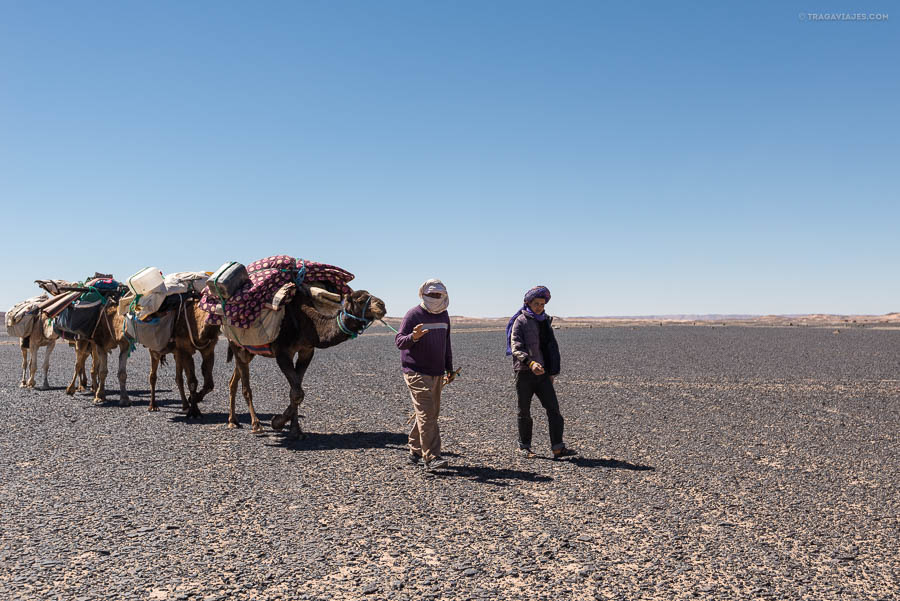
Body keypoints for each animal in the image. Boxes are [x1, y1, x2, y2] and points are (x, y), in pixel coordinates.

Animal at [227, 286, 384, 436]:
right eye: (361, 300)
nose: (382, 305)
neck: (308, 324)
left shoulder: (306, 352)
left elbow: (295, 391)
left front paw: (296, 430)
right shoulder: (282, 353)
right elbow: (298, 393)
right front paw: (277, 422)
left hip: (248, 350)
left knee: (233, 380)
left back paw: (233, 421)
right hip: (237, 346)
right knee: (246, 388)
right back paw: (256, 425)